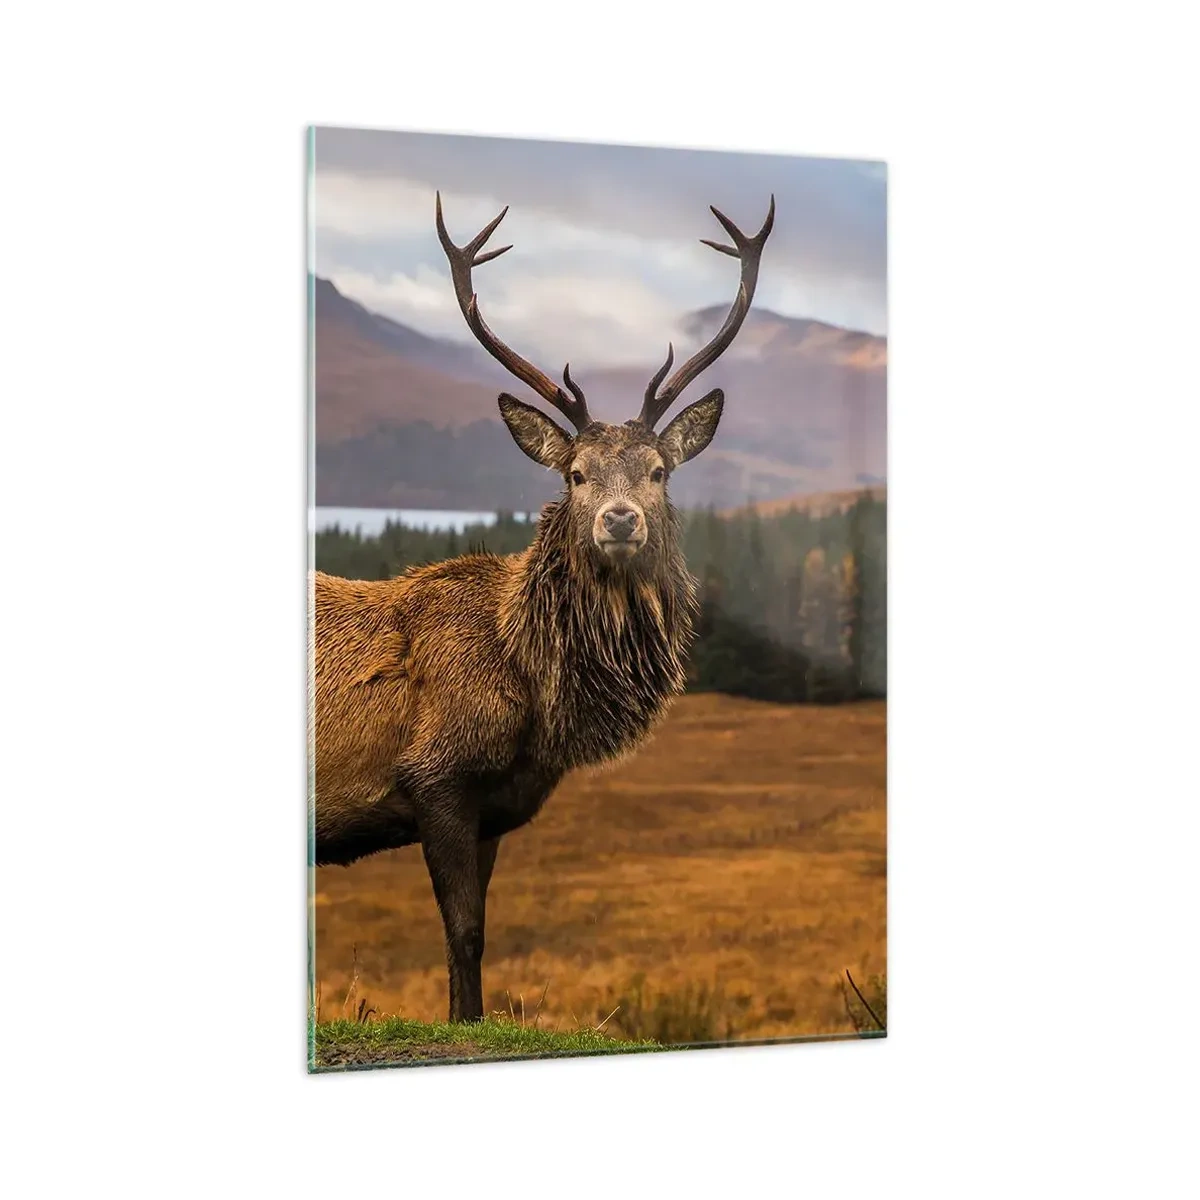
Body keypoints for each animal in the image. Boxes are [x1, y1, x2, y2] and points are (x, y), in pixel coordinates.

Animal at [312, 191, 775, 1022]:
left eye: (658, 471)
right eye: (576, 474)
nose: (619, 520)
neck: (537, 694)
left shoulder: (493, 805)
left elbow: (474, 935)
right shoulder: (436, 774)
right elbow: (464, 931)